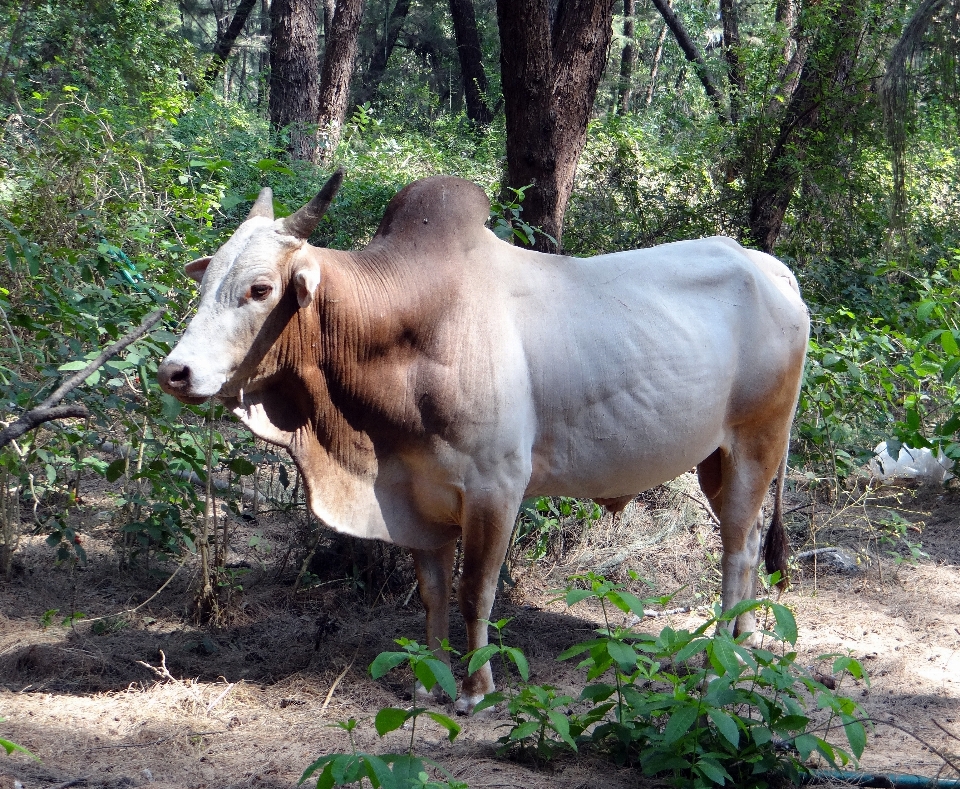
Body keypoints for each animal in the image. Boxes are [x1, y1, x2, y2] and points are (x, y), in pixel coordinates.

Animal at [159, 171, 808, 708]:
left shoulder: (496, 486)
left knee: (735, 550)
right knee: (752, 541)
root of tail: (769, 267)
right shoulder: (415, 494)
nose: (175, 372)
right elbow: (433, 593)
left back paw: (720, 657)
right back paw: (746, 642)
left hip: (758, 443)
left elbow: (475, 591)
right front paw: (430, 684)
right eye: (207, 280)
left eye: (260, 289)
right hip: (717, 461)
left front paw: (476, 690)